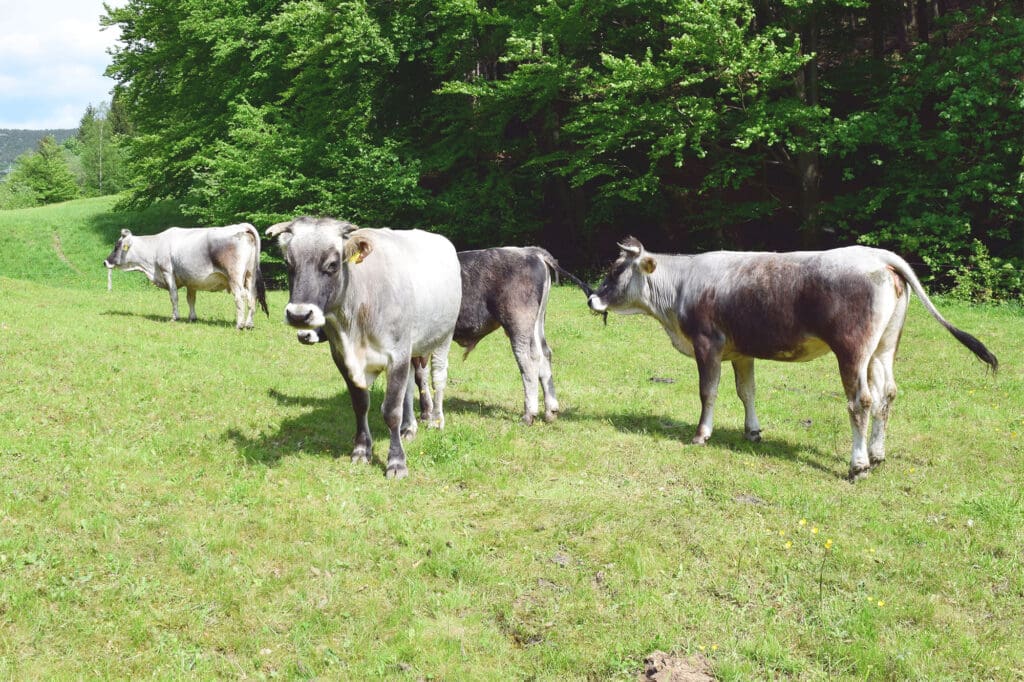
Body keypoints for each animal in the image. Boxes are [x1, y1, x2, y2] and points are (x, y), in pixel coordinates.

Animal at [103, 224, 268, 327]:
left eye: (117, 246)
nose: (105, 262)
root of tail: (241, 226)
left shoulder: (167, 272)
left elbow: (174, 296)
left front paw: (175, 317)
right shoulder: (191, 280)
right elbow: (191, 299)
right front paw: (192, 318)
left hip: (235, 277)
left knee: (240, 297)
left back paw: (239, 324)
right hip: (250, 276)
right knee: (252, 297)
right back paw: (249, 324)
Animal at [589, 237, 995, 477]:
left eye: (615, 270)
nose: (592, 297)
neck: (679, 290)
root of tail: (875, 254)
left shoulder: (708, 345)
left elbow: (709, 393)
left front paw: (701, 435)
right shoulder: (741, 351)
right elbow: (746, 392)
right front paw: (752, 431)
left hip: (852, 349)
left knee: (860, 402)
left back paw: (859, 464)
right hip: (883, 347)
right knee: (887, 395)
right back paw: (878, 455)